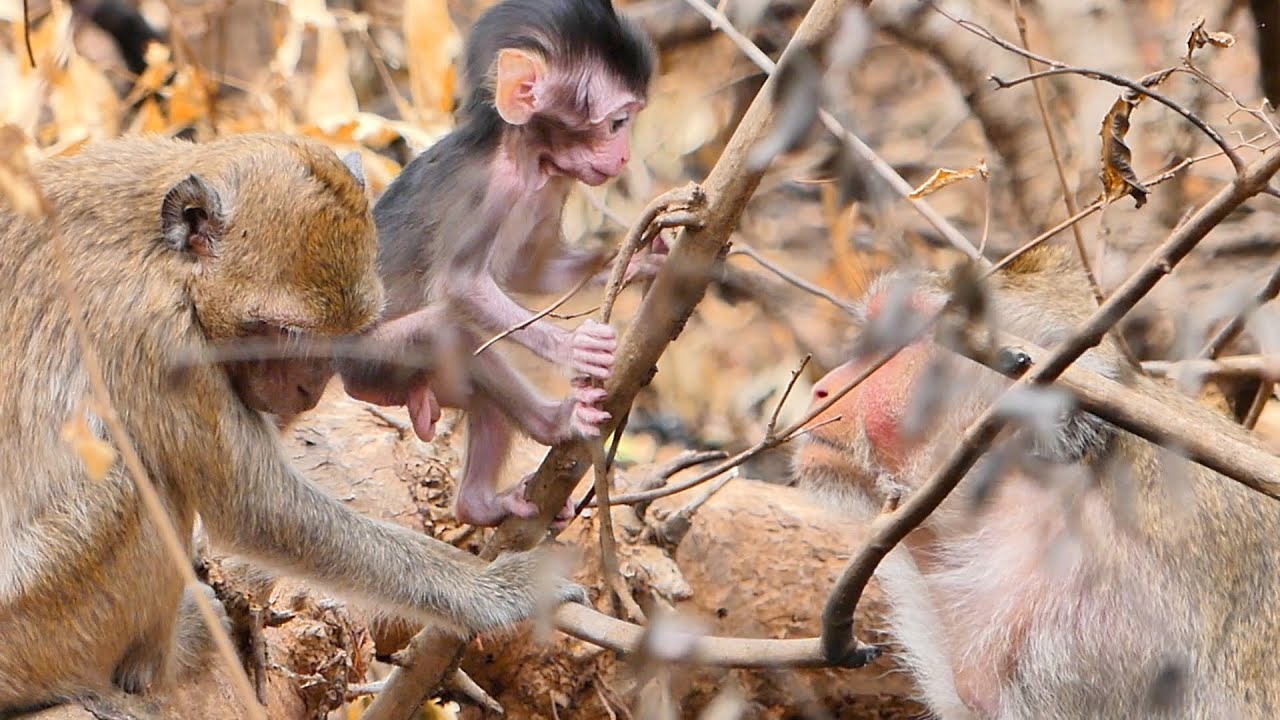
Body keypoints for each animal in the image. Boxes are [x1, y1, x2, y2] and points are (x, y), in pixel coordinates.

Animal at [0, 134, 582, 716]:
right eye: (283, 332)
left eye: (341, 330)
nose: (311, 390)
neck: (167, 260)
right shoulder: (157, 335)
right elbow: (259, 509)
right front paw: (490, 591)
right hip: (42, 622)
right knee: (134, 484)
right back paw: (161, 660)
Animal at [337, 0, 659, 528]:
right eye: (617, 123)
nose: (626, 156)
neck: (528, 160)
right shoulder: (492, 190)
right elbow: (462, 286)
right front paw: (574, 348)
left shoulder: (555, 184)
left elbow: (528, 273)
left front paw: (645, 259)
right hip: (371, 363)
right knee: (448, 330)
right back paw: (557, 424)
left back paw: (480, 504)